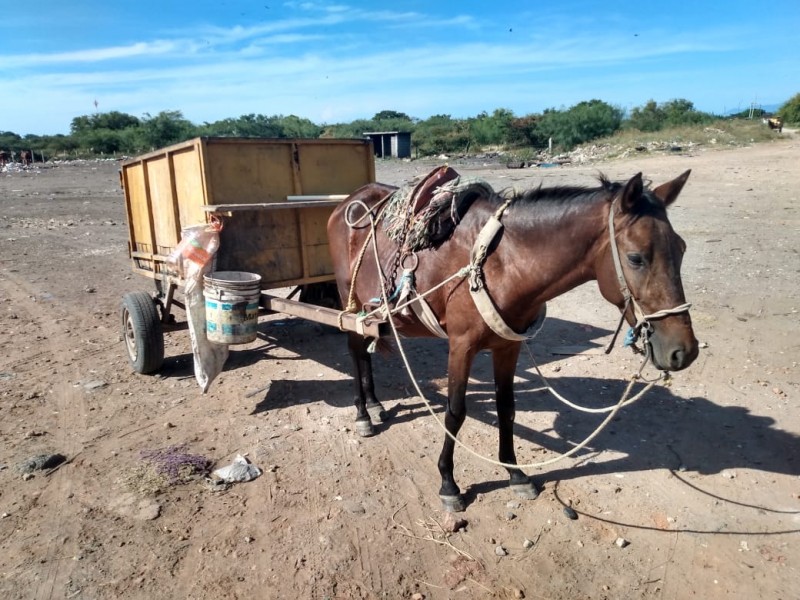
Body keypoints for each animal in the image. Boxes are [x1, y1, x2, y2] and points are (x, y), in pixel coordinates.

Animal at [328, 169, 696, 510]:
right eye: (636, 258)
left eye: (681, 249)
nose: (684, 351)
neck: (502, 263)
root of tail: (349, 201)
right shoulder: (461, 346)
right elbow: (454, 413)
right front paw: (448, 483)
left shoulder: (508, 346)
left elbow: (507, 408)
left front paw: (515, 473)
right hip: (350, 301)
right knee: (354, 350)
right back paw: (362, 413)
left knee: (365, 350)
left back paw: (375, 403)